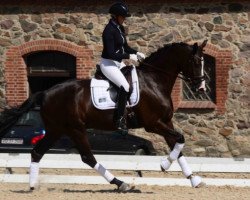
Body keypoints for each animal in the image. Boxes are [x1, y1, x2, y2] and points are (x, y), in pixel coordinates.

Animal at [0, 39, 207, 191]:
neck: (154, 80)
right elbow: (180, 140)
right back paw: (121, 184)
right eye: (196, 62)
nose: (201, 88)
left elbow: (178, 145)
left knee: (37, 152)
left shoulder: (166, 122)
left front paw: (193, 179)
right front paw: (164, 164)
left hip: (56, 130)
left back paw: (32, 185)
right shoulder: (153, 123)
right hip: (75, 129)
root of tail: (45, 93)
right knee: (87, 157)